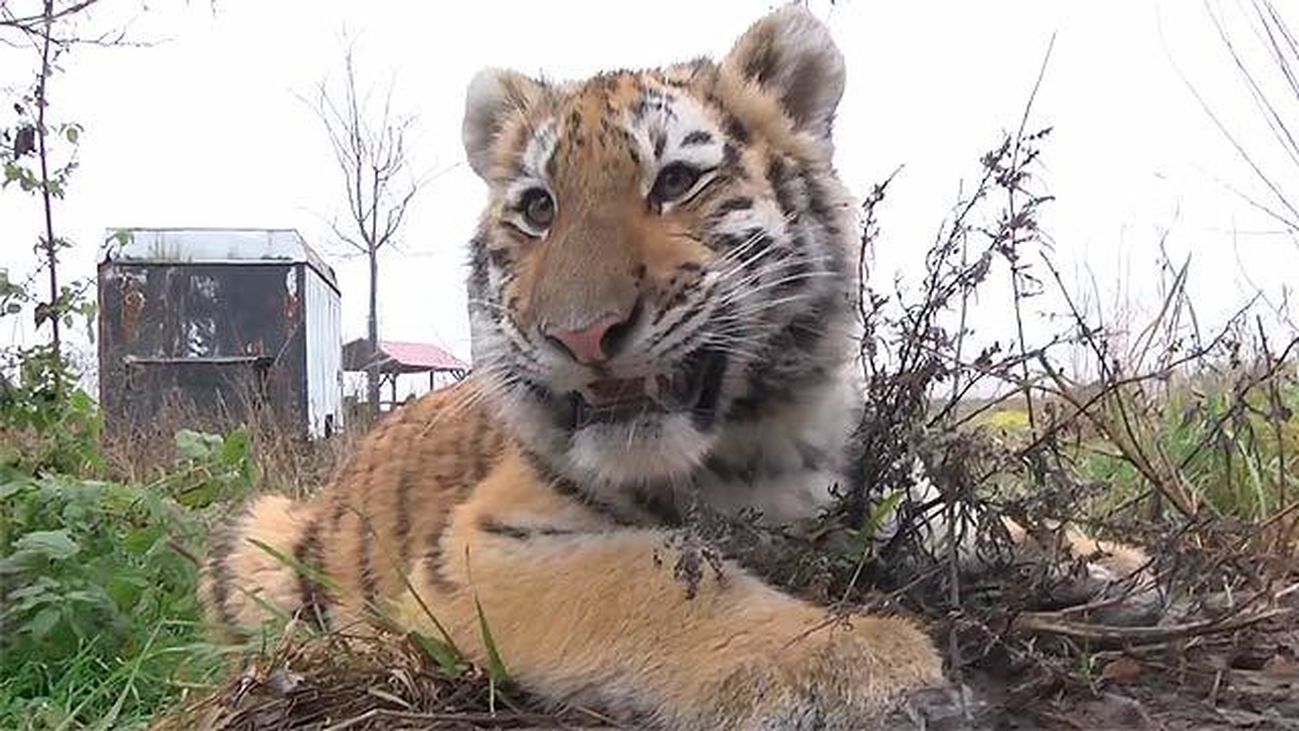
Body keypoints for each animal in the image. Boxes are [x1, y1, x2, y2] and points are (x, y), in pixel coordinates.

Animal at [201, 7, 952, 728]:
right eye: (539, 207)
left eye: (676, 182)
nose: (581, 333)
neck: (755, 445)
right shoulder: (479, 551)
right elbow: (650, 579)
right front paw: (853, 659)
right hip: (256, 536)